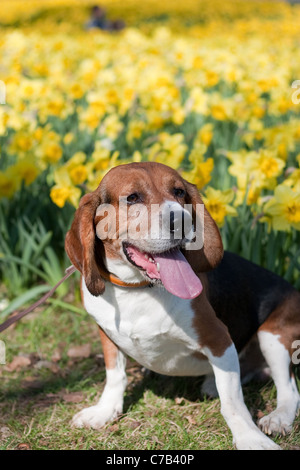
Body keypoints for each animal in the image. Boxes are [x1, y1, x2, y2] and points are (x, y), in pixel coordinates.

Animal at [65, 162, 300, 452]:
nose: (182, 221)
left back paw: (278, 418)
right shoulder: (106, 334)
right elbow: (115, 376)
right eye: (132, 198)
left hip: (273, 336)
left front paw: (251, 438)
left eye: (178, 192)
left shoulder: (219, 339)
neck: (139, 289)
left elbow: (233, 402)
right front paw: (105, 411)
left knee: (289, 389)